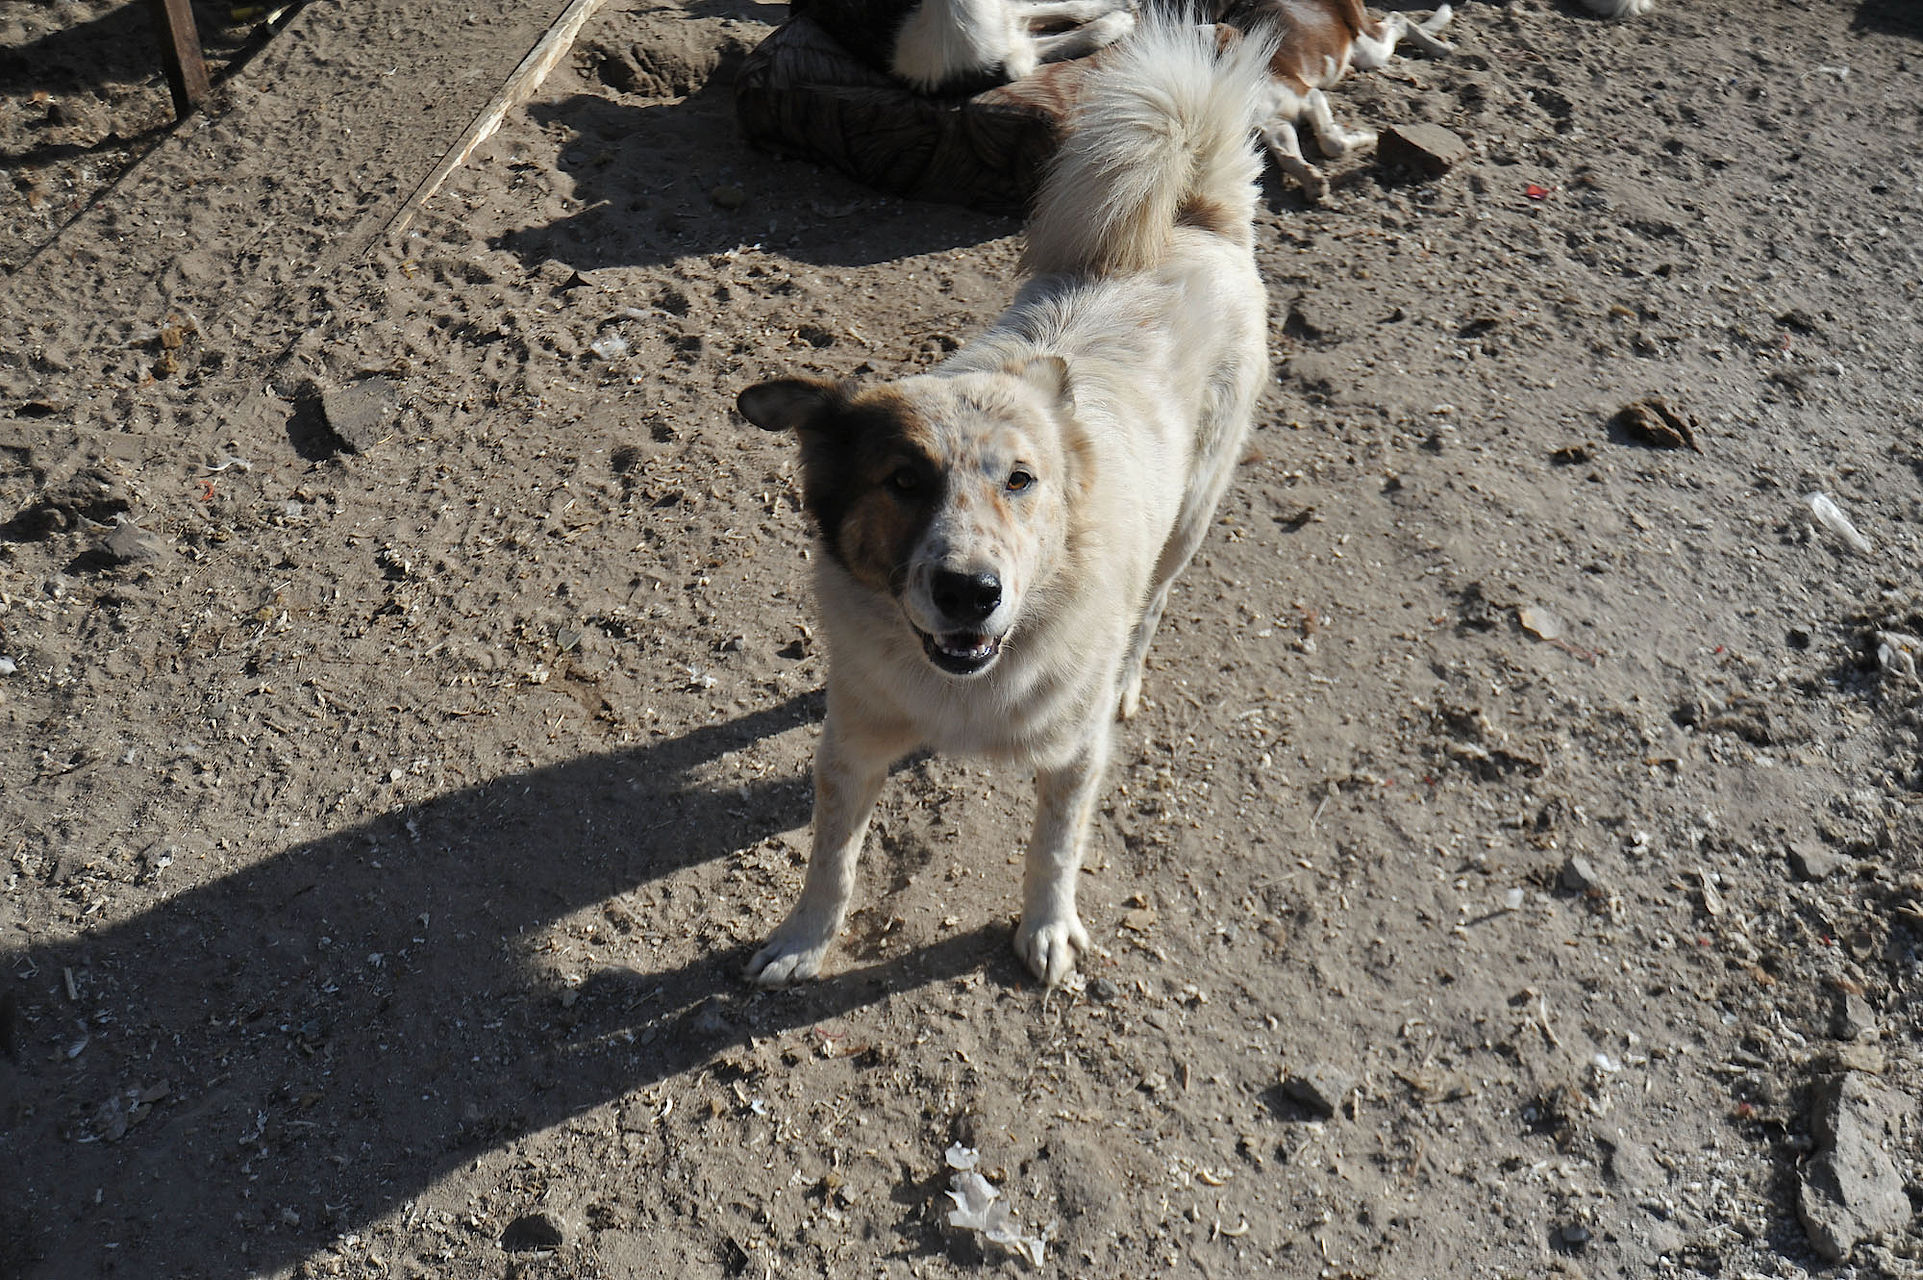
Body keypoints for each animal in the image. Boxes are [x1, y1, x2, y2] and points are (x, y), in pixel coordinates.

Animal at [734, 14, 1276, 980]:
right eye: (903, 480)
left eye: (1022, 481)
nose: (969, 593)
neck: (962, 686)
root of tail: (1196, 220)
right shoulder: (853, 743)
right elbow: (831, 857)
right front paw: (802, 941)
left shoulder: (1072, 758)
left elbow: (1052, 849)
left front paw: (1047, 930)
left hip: (1190, 517)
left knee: (1152, 604)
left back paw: (1128, 673)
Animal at [1215, 0, 1453, 199]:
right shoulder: (1274, 124)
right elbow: (1288, 156)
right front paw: (1312, 180)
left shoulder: (1308, 96)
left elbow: (1332, 142)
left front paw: (1364, 137)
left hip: (1369, 49)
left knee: (1397, 19)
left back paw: (1439, 46)